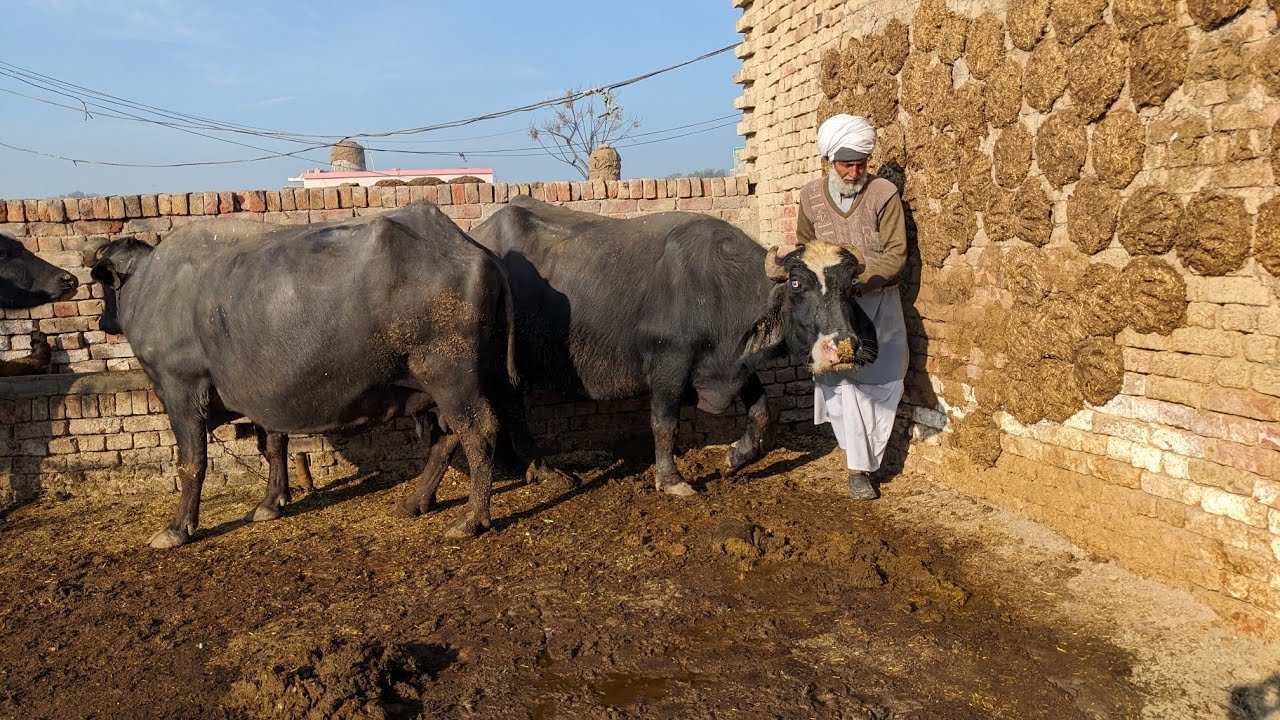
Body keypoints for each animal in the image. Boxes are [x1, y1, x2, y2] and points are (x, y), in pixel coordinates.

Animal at [86, 202, 516, 547]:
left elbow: (192, 461)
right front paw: (270, 503)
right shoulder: (262, 394)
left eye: (104, 287)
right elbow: (273, 445)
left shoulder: (180, 388)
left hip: (452, 376)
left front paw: (177, 528)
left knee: (479, 433)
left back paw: (470, 520)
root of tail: (473, 249)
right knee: (447, 437)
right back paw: (414, 502)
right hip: (442, 383)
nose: (101, 319)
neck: (151, 286)